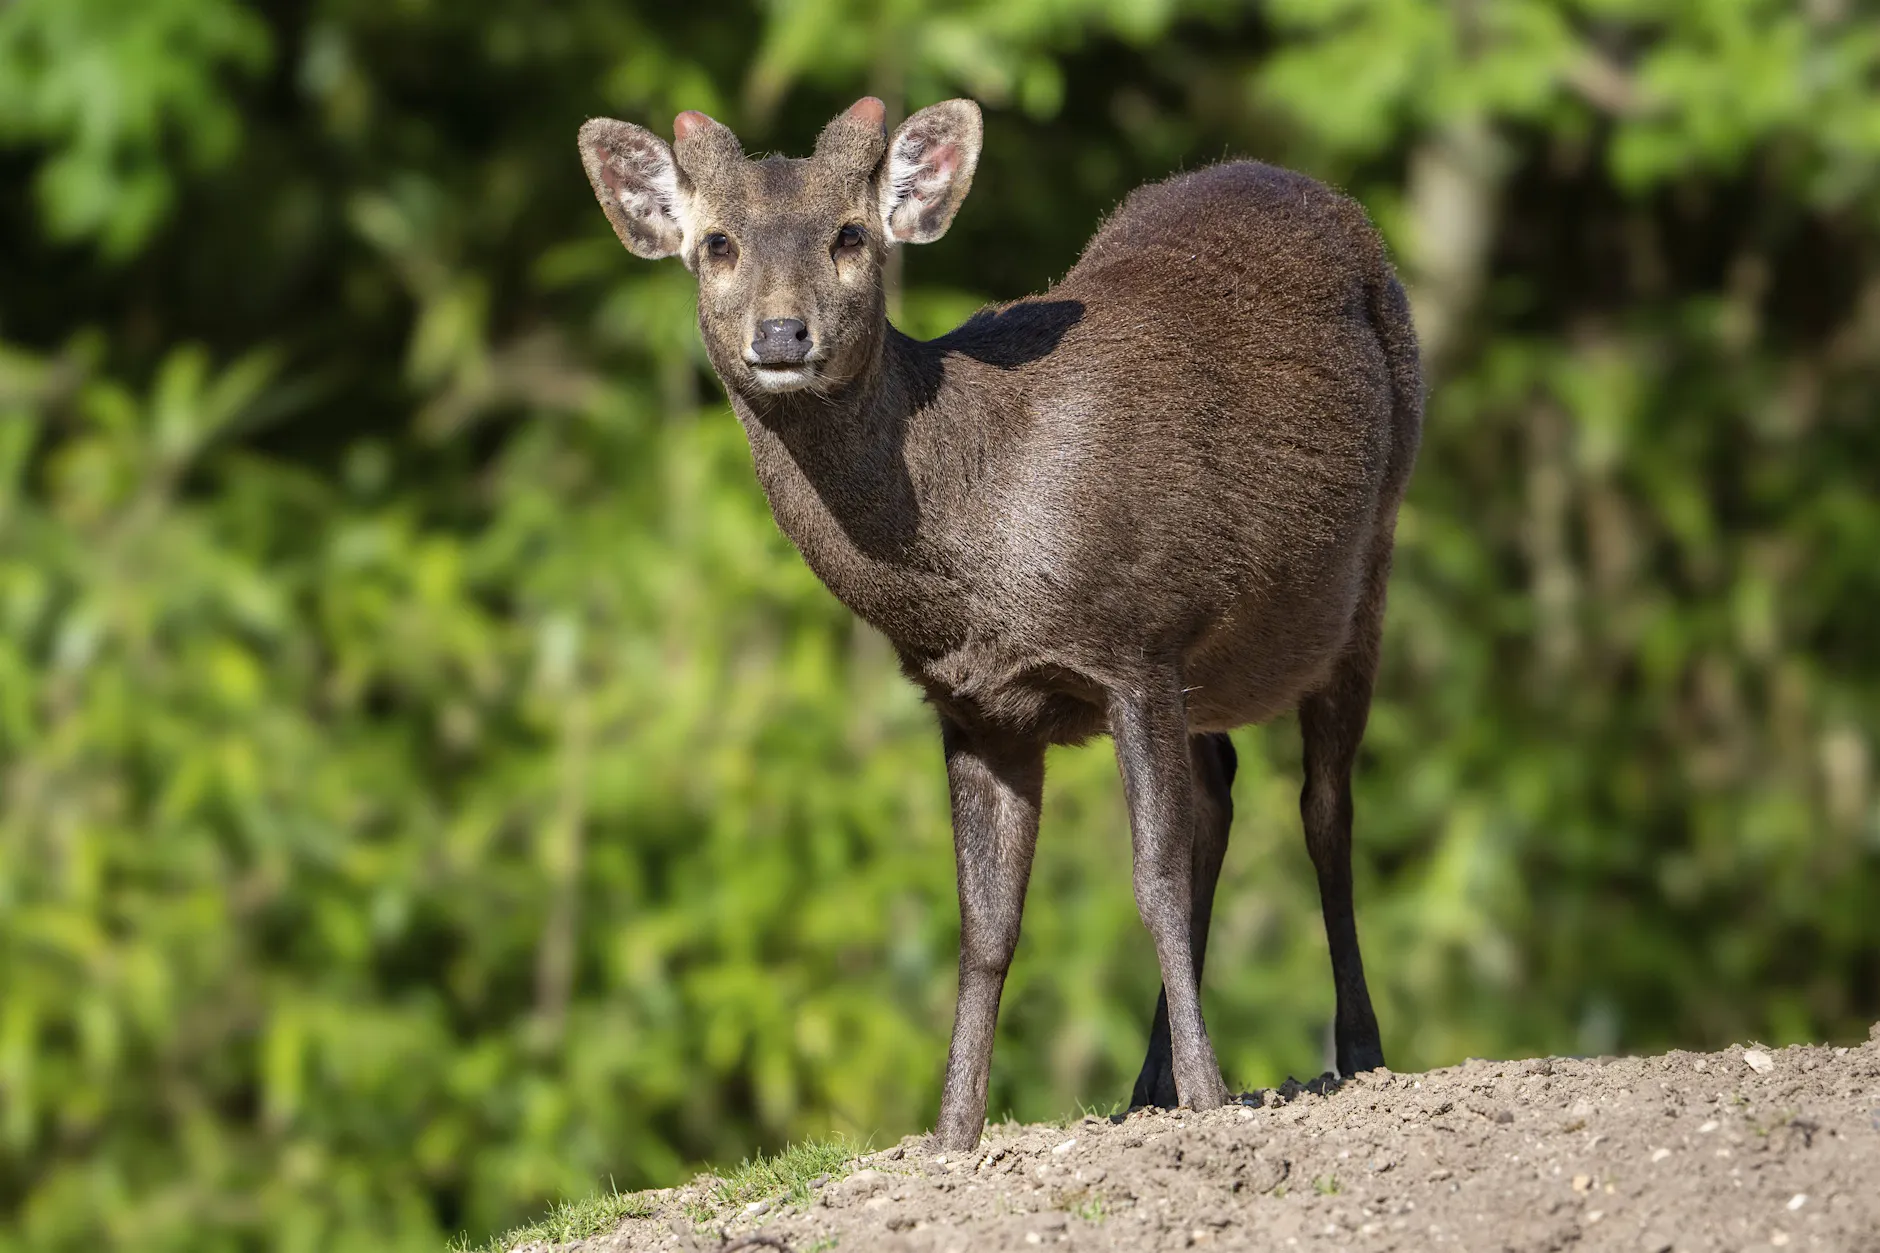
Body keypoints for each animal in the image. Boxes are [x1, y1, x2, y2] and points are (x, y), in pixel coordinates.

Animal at [578, 95, 1421, 1152]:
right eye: (718, 242)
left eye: (849, 235)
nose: (781, 332)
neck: (984, 555)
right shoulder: (977, 704)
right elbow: (985, 922)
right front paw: (952, 1131)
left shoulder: (1135, 638)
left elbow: (1151, 874)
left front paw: (1212, 1094)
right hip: (1217, 663)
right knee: (1225, 792)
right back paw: (1146, 1081)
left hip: (1372, 559)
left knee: (1324, 804)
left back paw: (1357, 1048)